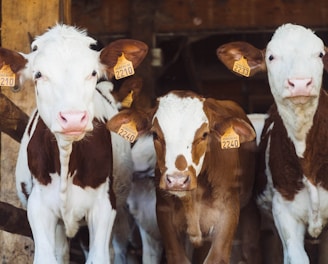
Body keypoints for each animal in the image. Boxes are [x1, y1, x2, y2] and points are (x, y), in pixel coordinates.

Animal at [0, 23, 147, 262]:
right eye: (38, 74)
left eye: (93, 73)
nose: (73, 118)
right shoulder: (38, 206)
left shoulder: (104, 205)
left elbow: (99, 257)